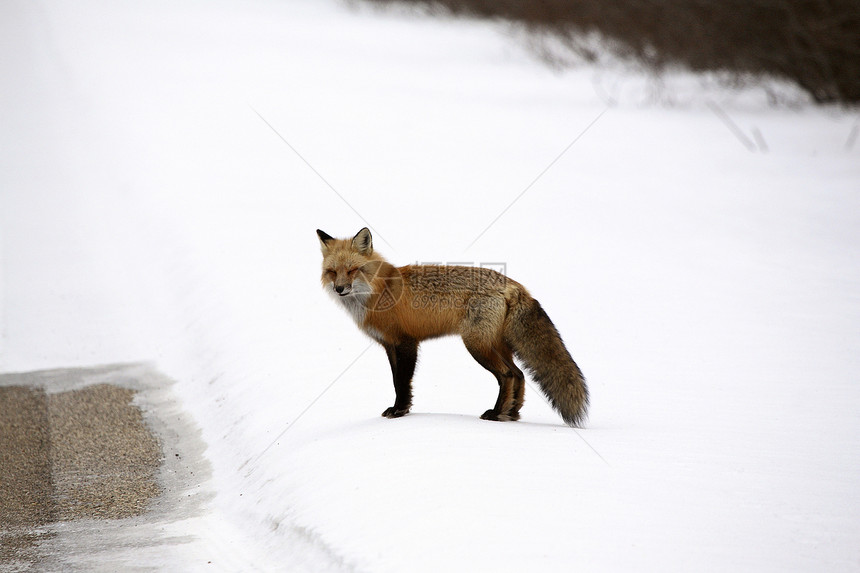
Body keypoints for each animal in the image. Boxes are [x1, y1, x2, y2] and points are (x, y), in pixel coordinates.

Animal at [318, 227, 592, 424]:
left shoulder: (406, 342)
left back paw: (496, 414)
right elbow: (397, 380)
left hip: (476, 345)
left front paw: (400, 410)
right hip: (496, 345)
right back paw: (511, 413)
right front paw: (401, 409)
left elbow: (402, 382)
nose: (339, 289)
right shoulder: (389, 345)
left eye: (353, 270)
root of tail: (513, 284)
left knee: (507, 375)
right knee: (519, 374)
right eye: (332, 272)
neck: (378, 291)